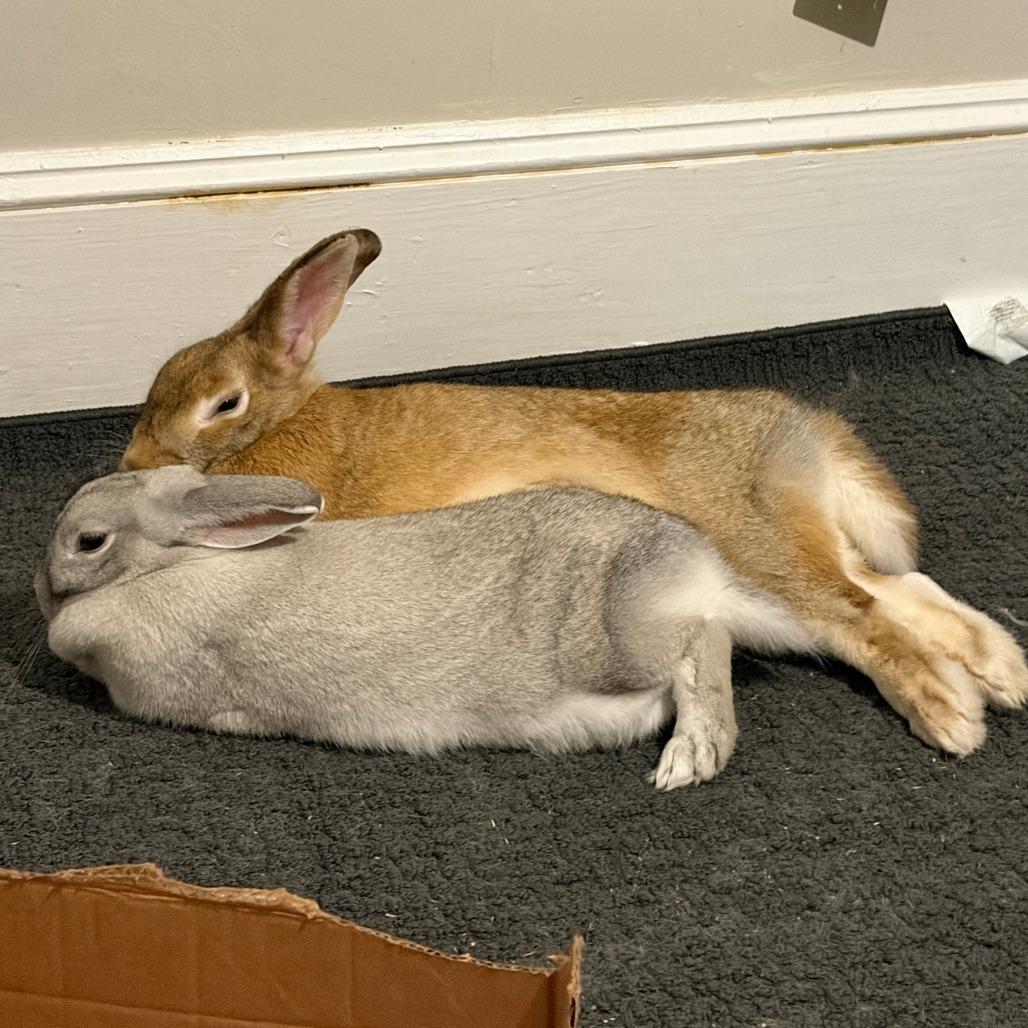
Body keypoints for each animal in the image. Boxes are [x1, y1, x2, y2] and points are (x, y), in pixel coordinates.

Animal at [35, 466, 819, 789]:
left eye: (88, 541)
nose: (41, 593)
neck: (170, 563)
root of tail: (700, 564)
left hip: (616, 643)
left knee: (706, 643)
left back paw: (691, 759)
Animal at [120, 230, 1028, 758]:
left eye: (223, 403)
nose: (134, 457)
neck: (277, 422)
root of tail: (794, 430)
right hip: (785, 536)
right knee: (889, 585)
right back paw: (1003, 673)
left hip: (743, 540)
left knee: (858, 615)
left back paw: (952, 716)